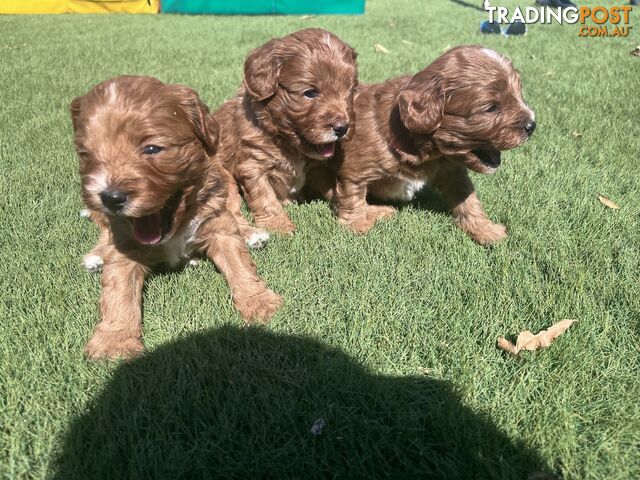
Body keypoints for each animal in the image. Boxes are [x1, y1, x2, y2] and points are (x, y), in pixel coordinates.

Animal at [71, 76, 282, 360]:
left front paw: (259, 302)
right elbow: (118, 292)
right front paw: (114, 341)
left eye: (152, 148)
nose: (111, 198)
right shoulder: (124, 244)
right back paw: (95, 257)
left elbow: (239, 262)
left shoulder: (217, 223)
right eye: (86, 154)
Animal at [212, 26, 358, 238]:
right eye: (310, 93)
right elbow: (265, 198)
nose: (342, 128)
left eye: (351, 91)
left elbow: (335, 188)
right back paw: (253, 235)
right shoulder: (252, 166)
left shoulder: (319, 169)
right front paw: (279, 225)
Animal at [330, 45, 536, 244]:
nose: (532, 125)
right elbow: (353, 198)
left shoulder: (453, 172)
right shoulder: (353, 172)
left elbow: (468, 199)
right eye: (491, 108)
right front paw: (358, 224)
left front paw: (485, 229)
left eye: (518, 95)